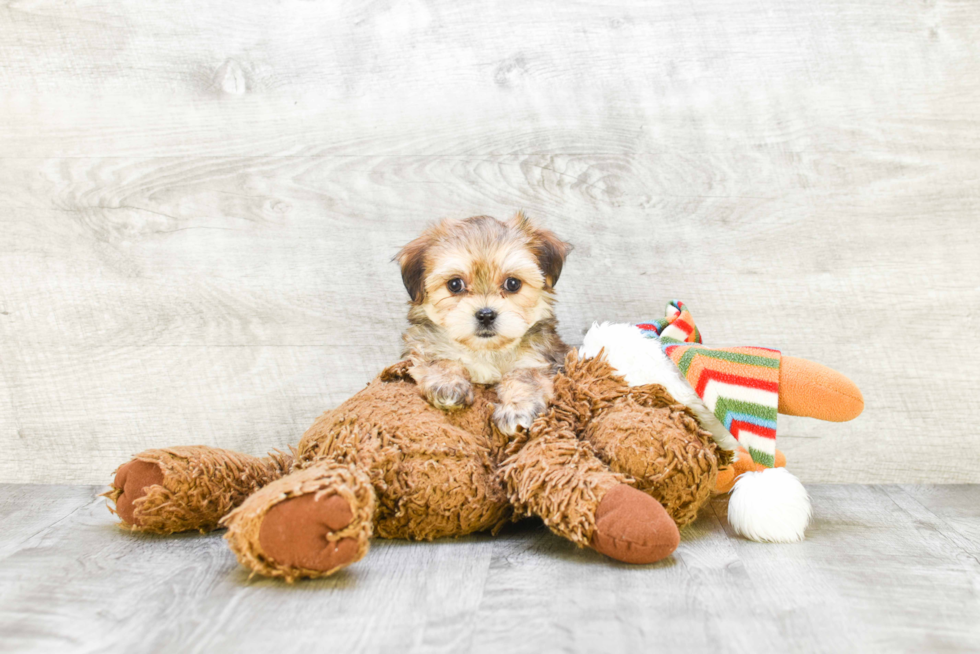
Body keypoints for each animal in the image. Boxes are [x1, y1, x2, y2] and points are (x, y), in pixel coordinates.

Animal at [394, 211, 572, 436]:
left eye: (513, 283)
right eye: (455, 284)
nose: (486, 315)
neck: (485, 351)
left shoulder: (539, 359)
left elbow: (524, 377)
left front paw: (516, 409)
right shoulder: (424, 345)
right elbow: (438, 360)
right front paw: (447, 384)